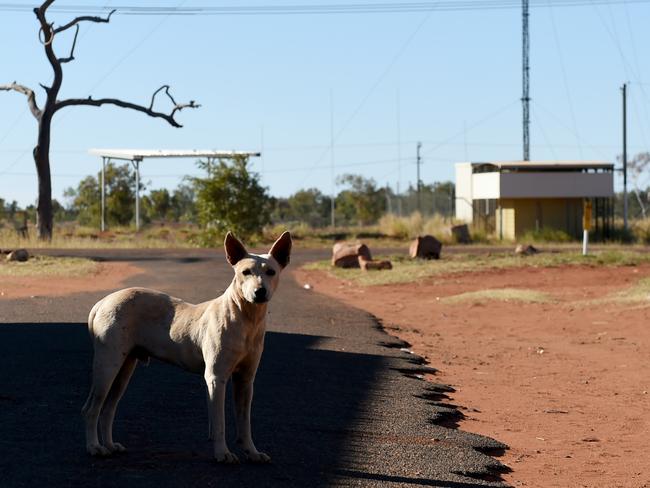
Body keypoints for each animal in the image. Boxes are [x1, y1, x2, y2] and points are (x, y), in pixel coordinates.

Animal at [81, 231, 292, 464]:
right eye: (245, 272)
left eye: (271, 272)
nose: (259, 292)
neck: (246, 318)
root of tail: (103, 302)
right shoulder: (216, 378)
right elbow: (219, 423)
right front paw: (223, 453)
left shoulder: (246, 380)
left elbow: (245, 423)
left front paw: (252, 452)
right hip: (107, 366)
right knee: (91, 409)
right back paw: (94, 447)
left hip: (124, 368)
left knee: (108, 409)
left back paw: (109, 445)